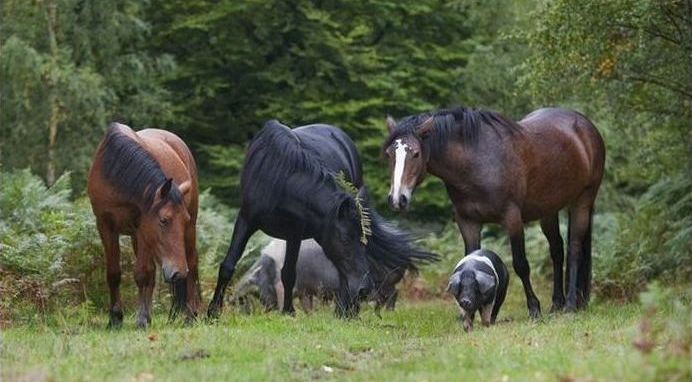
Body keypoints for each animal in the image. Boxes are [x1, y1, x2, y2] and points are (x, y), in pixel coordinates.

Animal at [86, 123, 200, 328]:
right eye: (163, 220)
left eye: (184, 219)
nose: (178, 272)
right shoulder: (105, 226)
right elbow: (114, 273)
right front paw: (115, 318)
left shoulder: (142, 229)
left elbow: (142, 273)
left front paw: (141, 319)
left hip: (188, 231)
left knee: (192, 264)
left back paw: (190, 315)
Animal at [232, 239, 400, 316]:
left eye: (251, 281)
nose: (232, 297)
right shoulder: (304, 290)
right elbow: (307, 305)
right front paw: (309, 315)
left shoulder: (283, 287)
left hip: (380, 283)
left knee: (393, 293)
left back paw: (388, 312)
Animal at [384, 106, 604, 318]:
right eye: (389, 154)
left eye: (415, 153)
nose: (397, 199)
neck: (476, 163)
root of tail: (585, 125)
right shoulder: (468, 222)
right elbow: (469, 262)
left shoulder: (512, 220)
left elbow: (521, 265)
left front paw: (534, 308)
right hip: (548, 210)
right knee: (557, 251)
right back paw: (557, 304)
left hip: (582, 201)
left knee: (574, 250)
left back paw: (570, 306)